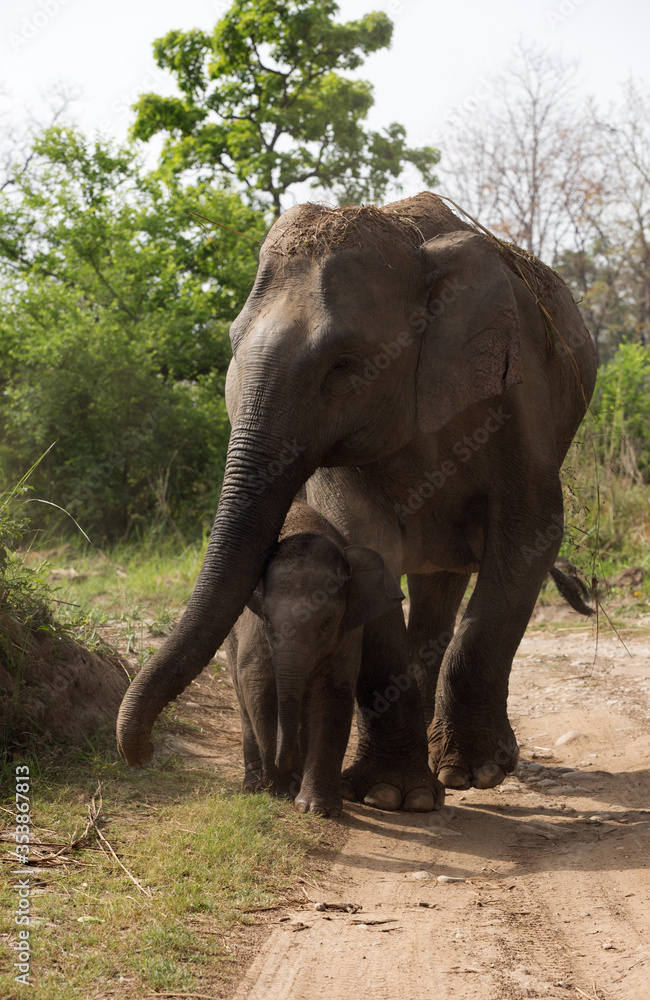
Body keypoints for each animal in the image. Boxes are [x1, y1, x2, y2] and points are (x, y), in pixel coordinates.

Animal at [226, 500, 406, 817]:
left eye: (327, 623)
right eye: (269, 622)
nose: (282, 762)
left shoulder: (347, 633)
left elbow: (332, 694)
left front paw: (316, 808)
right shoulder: (253, 629)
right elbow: (259, 686)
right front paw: (280, 791)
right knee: (244, 702)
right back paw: (254, 785)